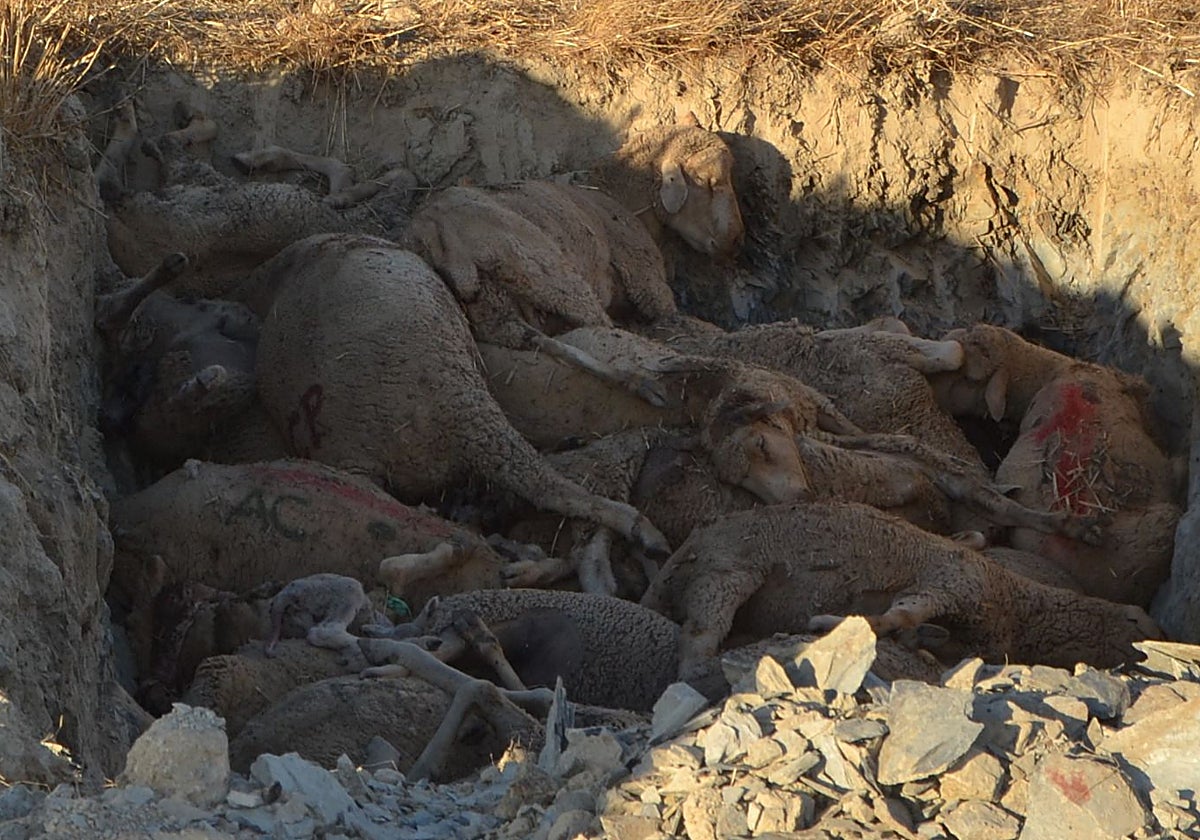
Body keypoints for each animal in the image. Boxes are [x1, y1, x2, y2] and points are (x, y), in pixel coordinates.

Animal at [639, 501, 1162, 682]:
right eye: (1139, 623)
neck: (1018, 606)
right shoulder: (953, 582)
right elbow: (900, 614)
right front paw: (832, 626)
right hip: (727, 569)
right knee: (700, 631)